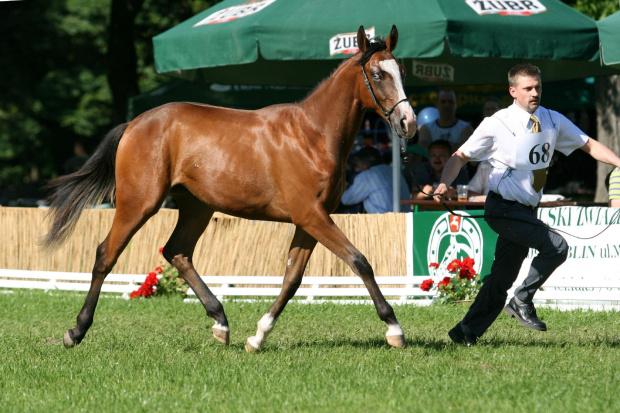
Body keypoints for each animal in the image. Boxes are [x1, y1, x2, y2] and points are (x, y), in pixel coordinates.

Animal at [43, 26, 416, 350]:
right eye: (378, 74)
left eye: (401, 71)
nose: (408, 123)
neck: (312, 135)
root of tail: (134, 124)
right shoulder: (312, 216)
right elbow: (359, 261)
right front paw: (394, 329)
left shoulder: (310, 220)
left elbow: (292, 279)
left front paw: (258, 336)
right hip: (139, 204)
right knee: (106, 254)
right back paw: (76, 331)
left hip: (197, 207)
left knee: (177, 252)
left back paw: (220, 322)